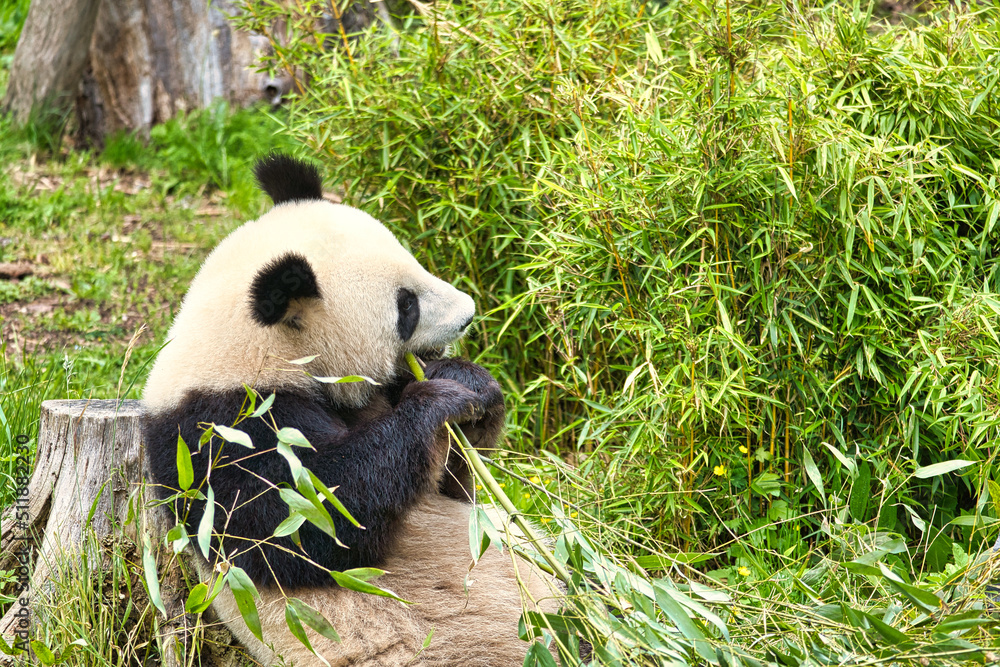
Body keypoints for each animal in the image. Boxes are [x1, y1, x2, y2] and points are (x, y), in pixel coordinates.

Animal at [142, 154, 559, 666]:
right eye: (406, 307)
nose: (468, 314)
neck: (259, 352)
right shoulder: (219, 432)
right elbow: (312, 521)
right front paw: (438, 402)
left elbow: (455, 488)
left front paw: (469, 385)